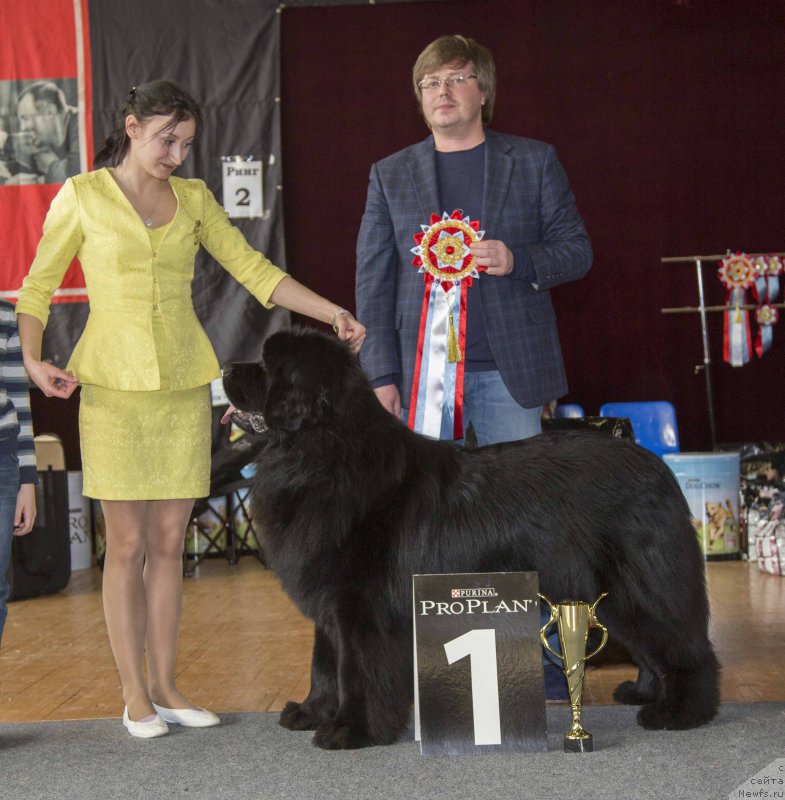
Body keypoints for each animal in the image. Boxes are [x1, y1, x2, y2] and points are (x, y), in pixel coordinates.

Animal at [220, 328, 716, 748]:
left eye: (266, 365)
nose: (224, 367)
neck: (320, 450)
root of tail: (655, 465)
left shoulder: (360, 606)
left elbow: (355, 669)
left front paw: (351, 729)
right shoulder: (329, 601)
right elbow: (324, 663)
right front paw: (312, 713)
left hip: (639, 583)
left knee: (683, 644)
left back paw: (680, 711)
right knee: (654, 646)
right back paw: (644, 693)